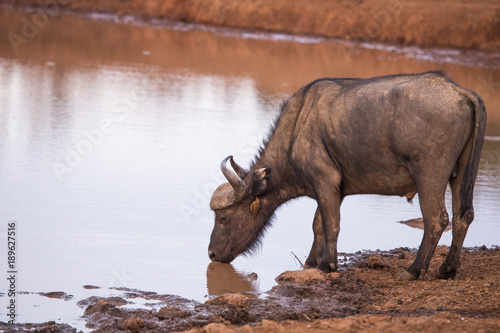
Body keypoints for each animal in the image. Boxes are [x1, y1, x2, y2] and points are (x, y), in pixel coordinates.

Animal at [207, 70, 484, 280]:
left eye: (223, 217)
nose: (211, 254)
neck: (297, 128)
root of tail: (457, 90)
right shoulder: (333, 190)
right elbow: (318, 224)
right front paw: (311, 261)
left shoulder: (325, 181)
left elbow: (331, 224)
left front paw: (327, 264)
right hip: (460, 175)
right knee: (463, 217)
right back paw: (447, 269)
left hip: (429, 174)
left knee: (436, 219)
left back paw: (414, 270)